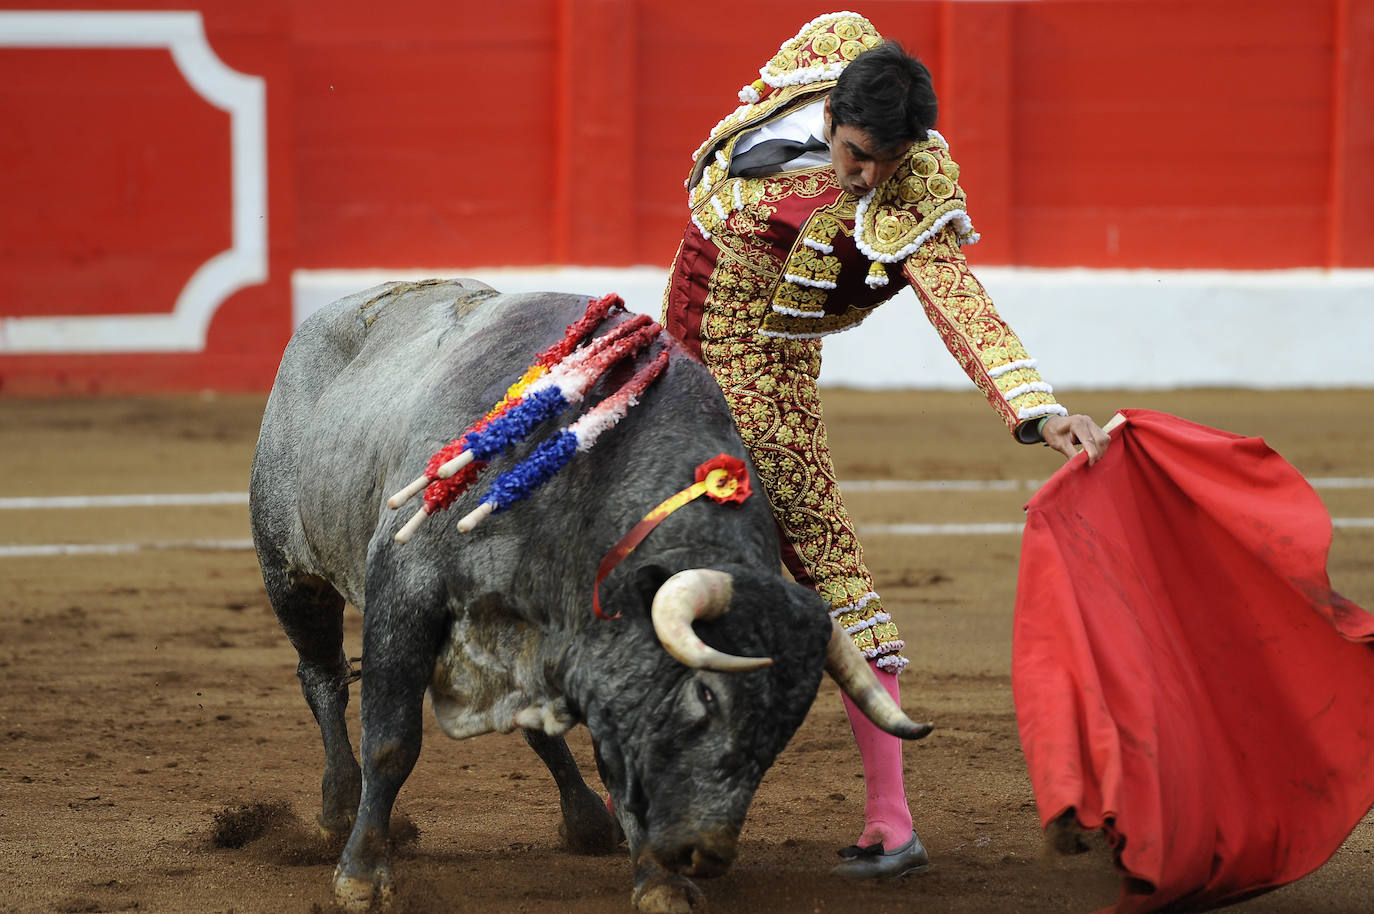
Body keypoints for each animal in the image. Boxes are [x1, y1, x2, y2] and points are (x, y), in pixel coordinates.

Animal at [250, 280, 934, 912]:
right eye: (706, 695)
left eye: (783, 729)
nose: (704, 854)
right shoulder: (404, 589)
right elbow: (392, 741)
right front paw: (362, 877)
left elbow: (612, 754)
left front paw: (660, 883)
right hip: (289, 573)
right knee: (324, 678)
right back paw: (337, 808)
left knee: (532, 724)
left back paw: (586, 820)